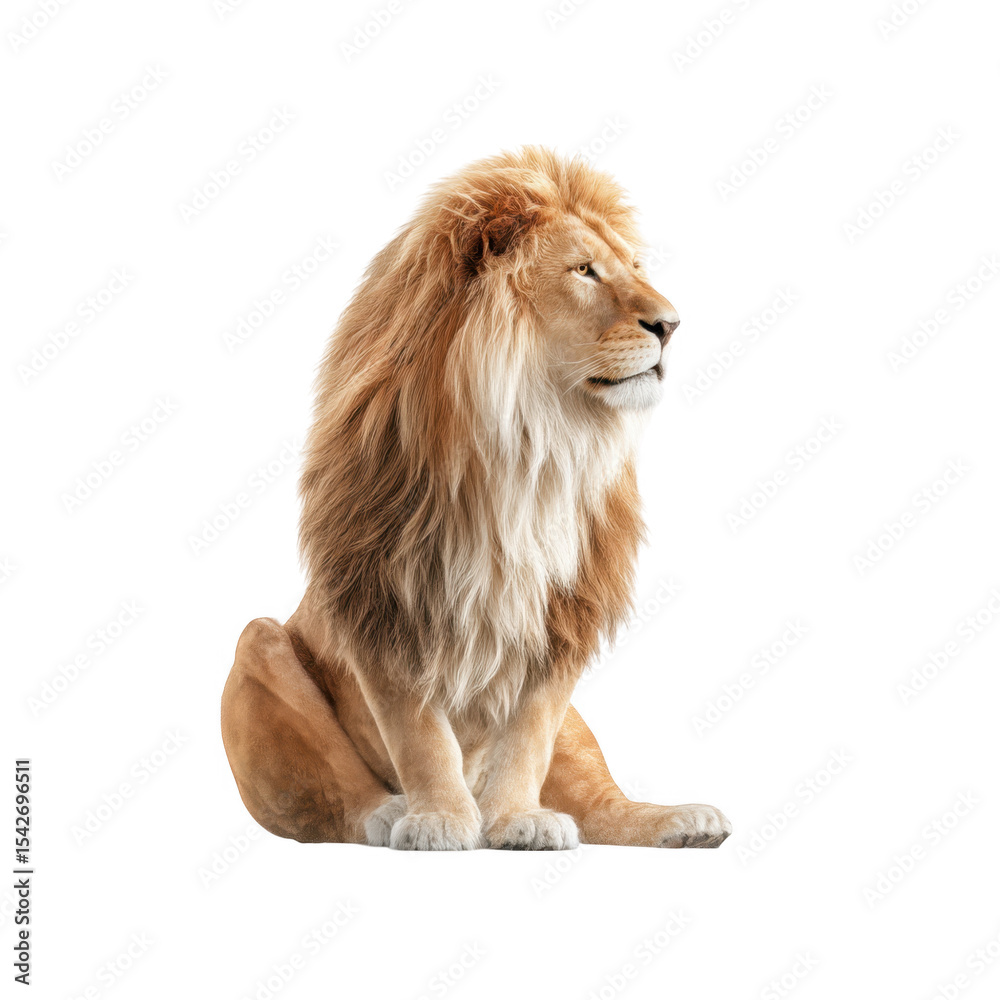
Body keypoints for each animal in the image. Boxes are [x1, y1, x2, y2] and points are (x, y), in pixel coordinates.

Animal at [221, 147, 731, 850]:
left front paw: (515, 820)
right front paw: (440, 820)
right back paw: (390, 813)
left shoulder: (562, 614)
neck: (534, 440)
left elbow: (529, 733)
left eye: (633, 267)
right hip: (259, 645)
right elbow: (418, 732)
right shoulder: (387, 590)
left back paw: (682, 821)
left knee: (601, 801)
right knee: (328, 798)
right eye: (583, 270)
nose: (672, 325)